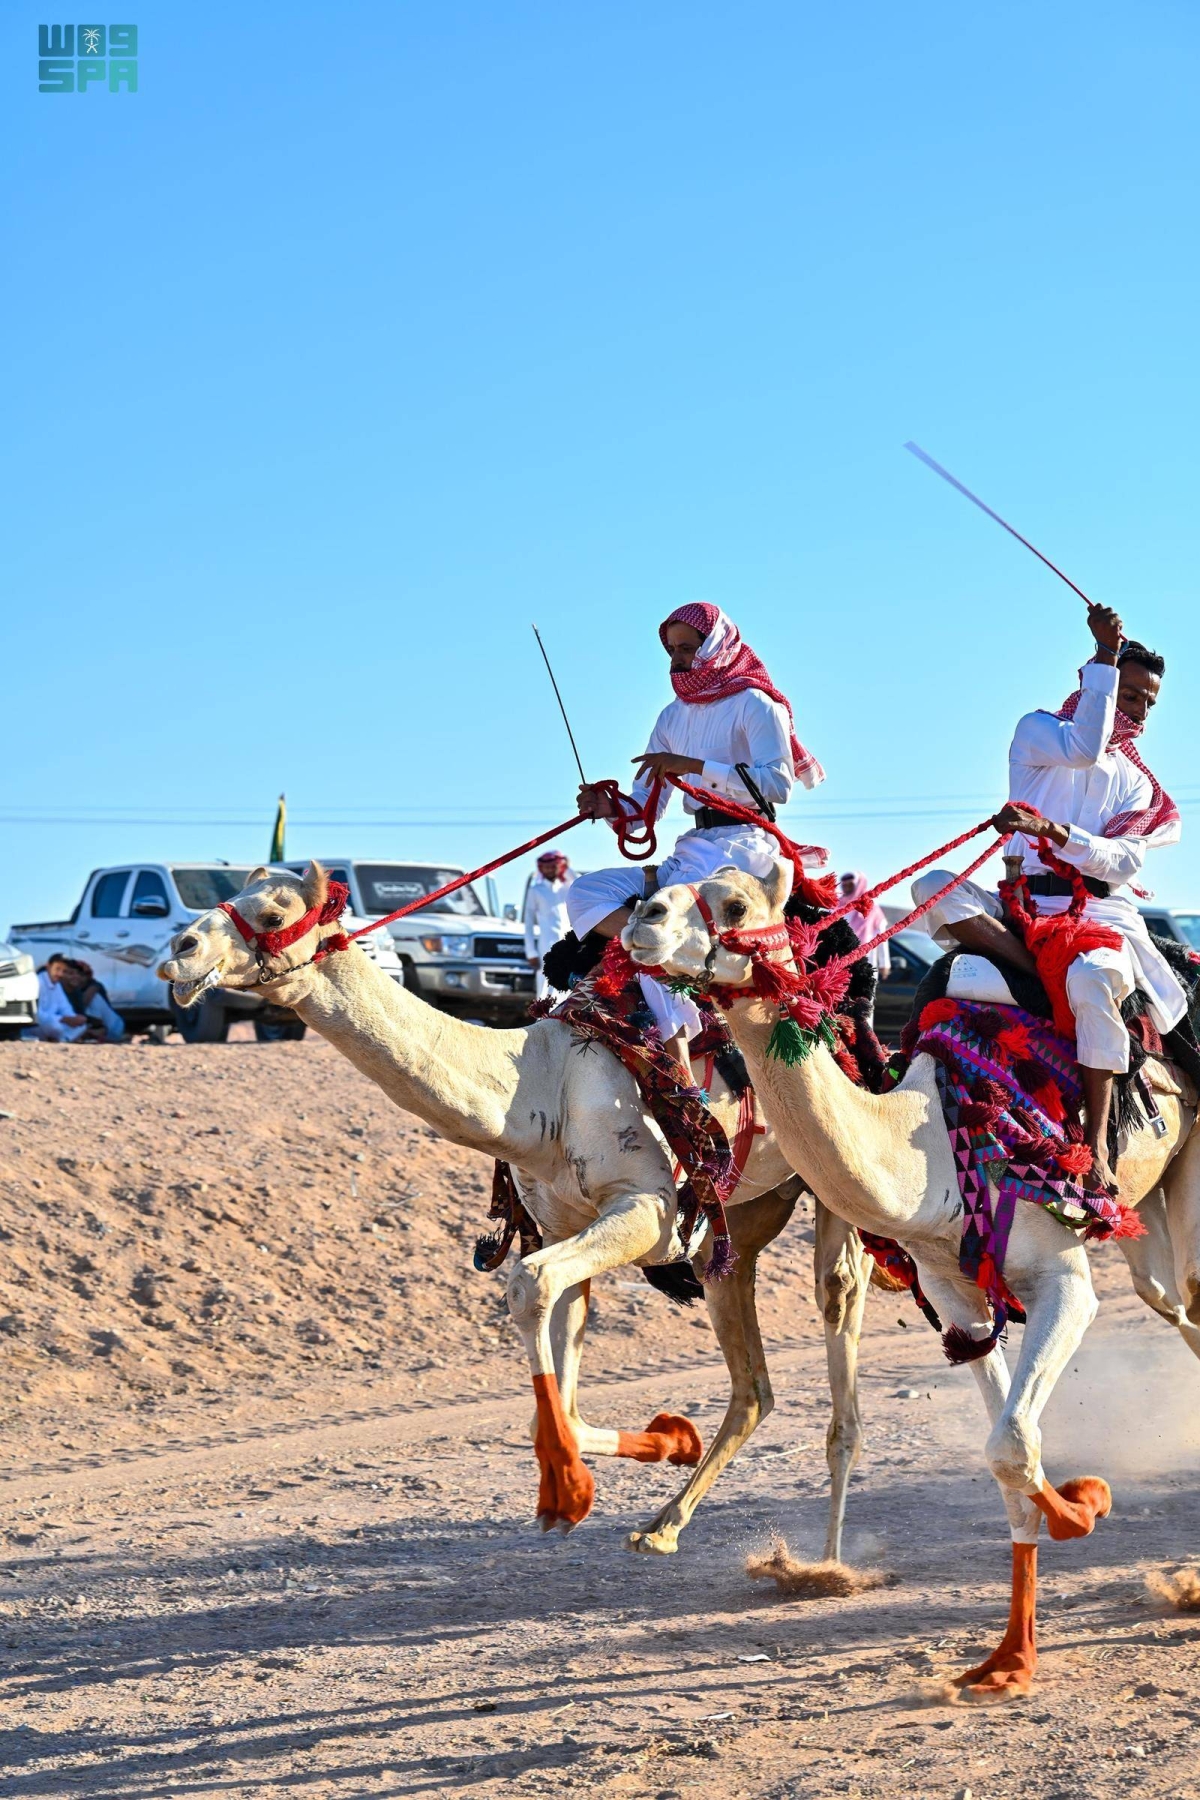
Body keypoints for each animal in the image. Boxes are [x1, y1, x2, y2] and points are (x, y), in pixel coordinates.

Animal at [157, 862, 873, 1558]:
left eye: (274, 912)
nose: (179, 950)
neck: (540, 1087)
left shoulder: (646, 1208)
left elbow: (529, 1284)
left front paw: (569, 1494)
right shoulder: (566, 1224)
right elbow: (563, 1381)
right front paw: (668, 1441)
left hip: (830, 1185)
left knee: (836, 1294)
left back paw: (826, 1554)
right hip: (739, 1227)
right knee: (751, 1382)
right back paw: (664, 1525)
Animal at [626, 863, 1200, 1695]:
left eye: (734, 902)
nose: (643, 917)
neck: (926, 1146)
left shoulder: (1063, 1281)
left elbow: (1014, 1441)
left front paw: (1085, 1508)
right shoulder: (959, 1299)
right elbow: (1009, 1458)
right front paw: (1009, 1660)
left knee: (1191, 1294)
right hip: (1146, 1213)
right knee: (1175, 1306)